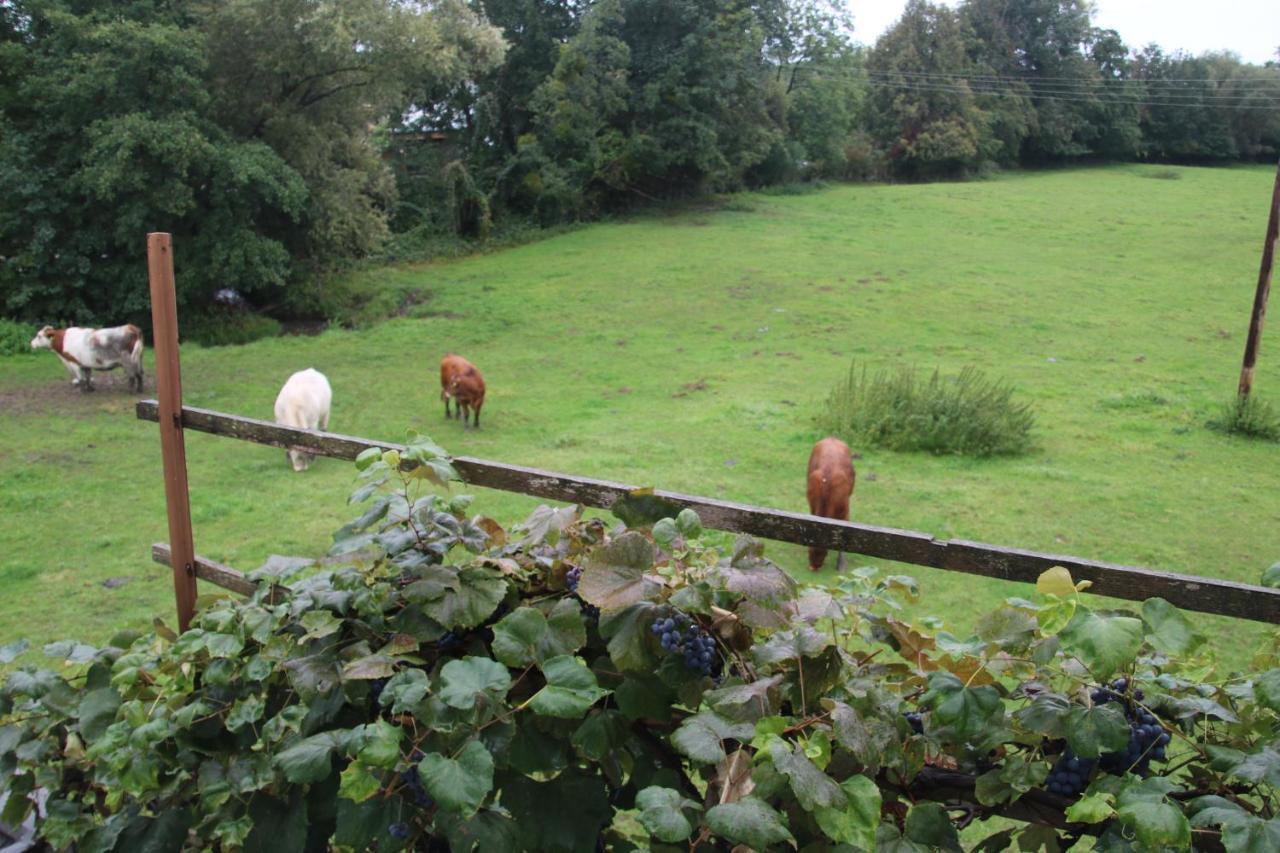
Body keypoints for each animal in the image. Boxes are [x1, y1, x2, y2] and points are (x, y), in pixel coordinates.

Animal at [803, 435, 855, 568]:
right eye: (810, 549)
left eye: (824, 552)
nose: (814, 567)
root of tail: (832, 438)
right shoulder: (812, 506)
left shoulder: (845, 511)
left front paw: (841, 564)